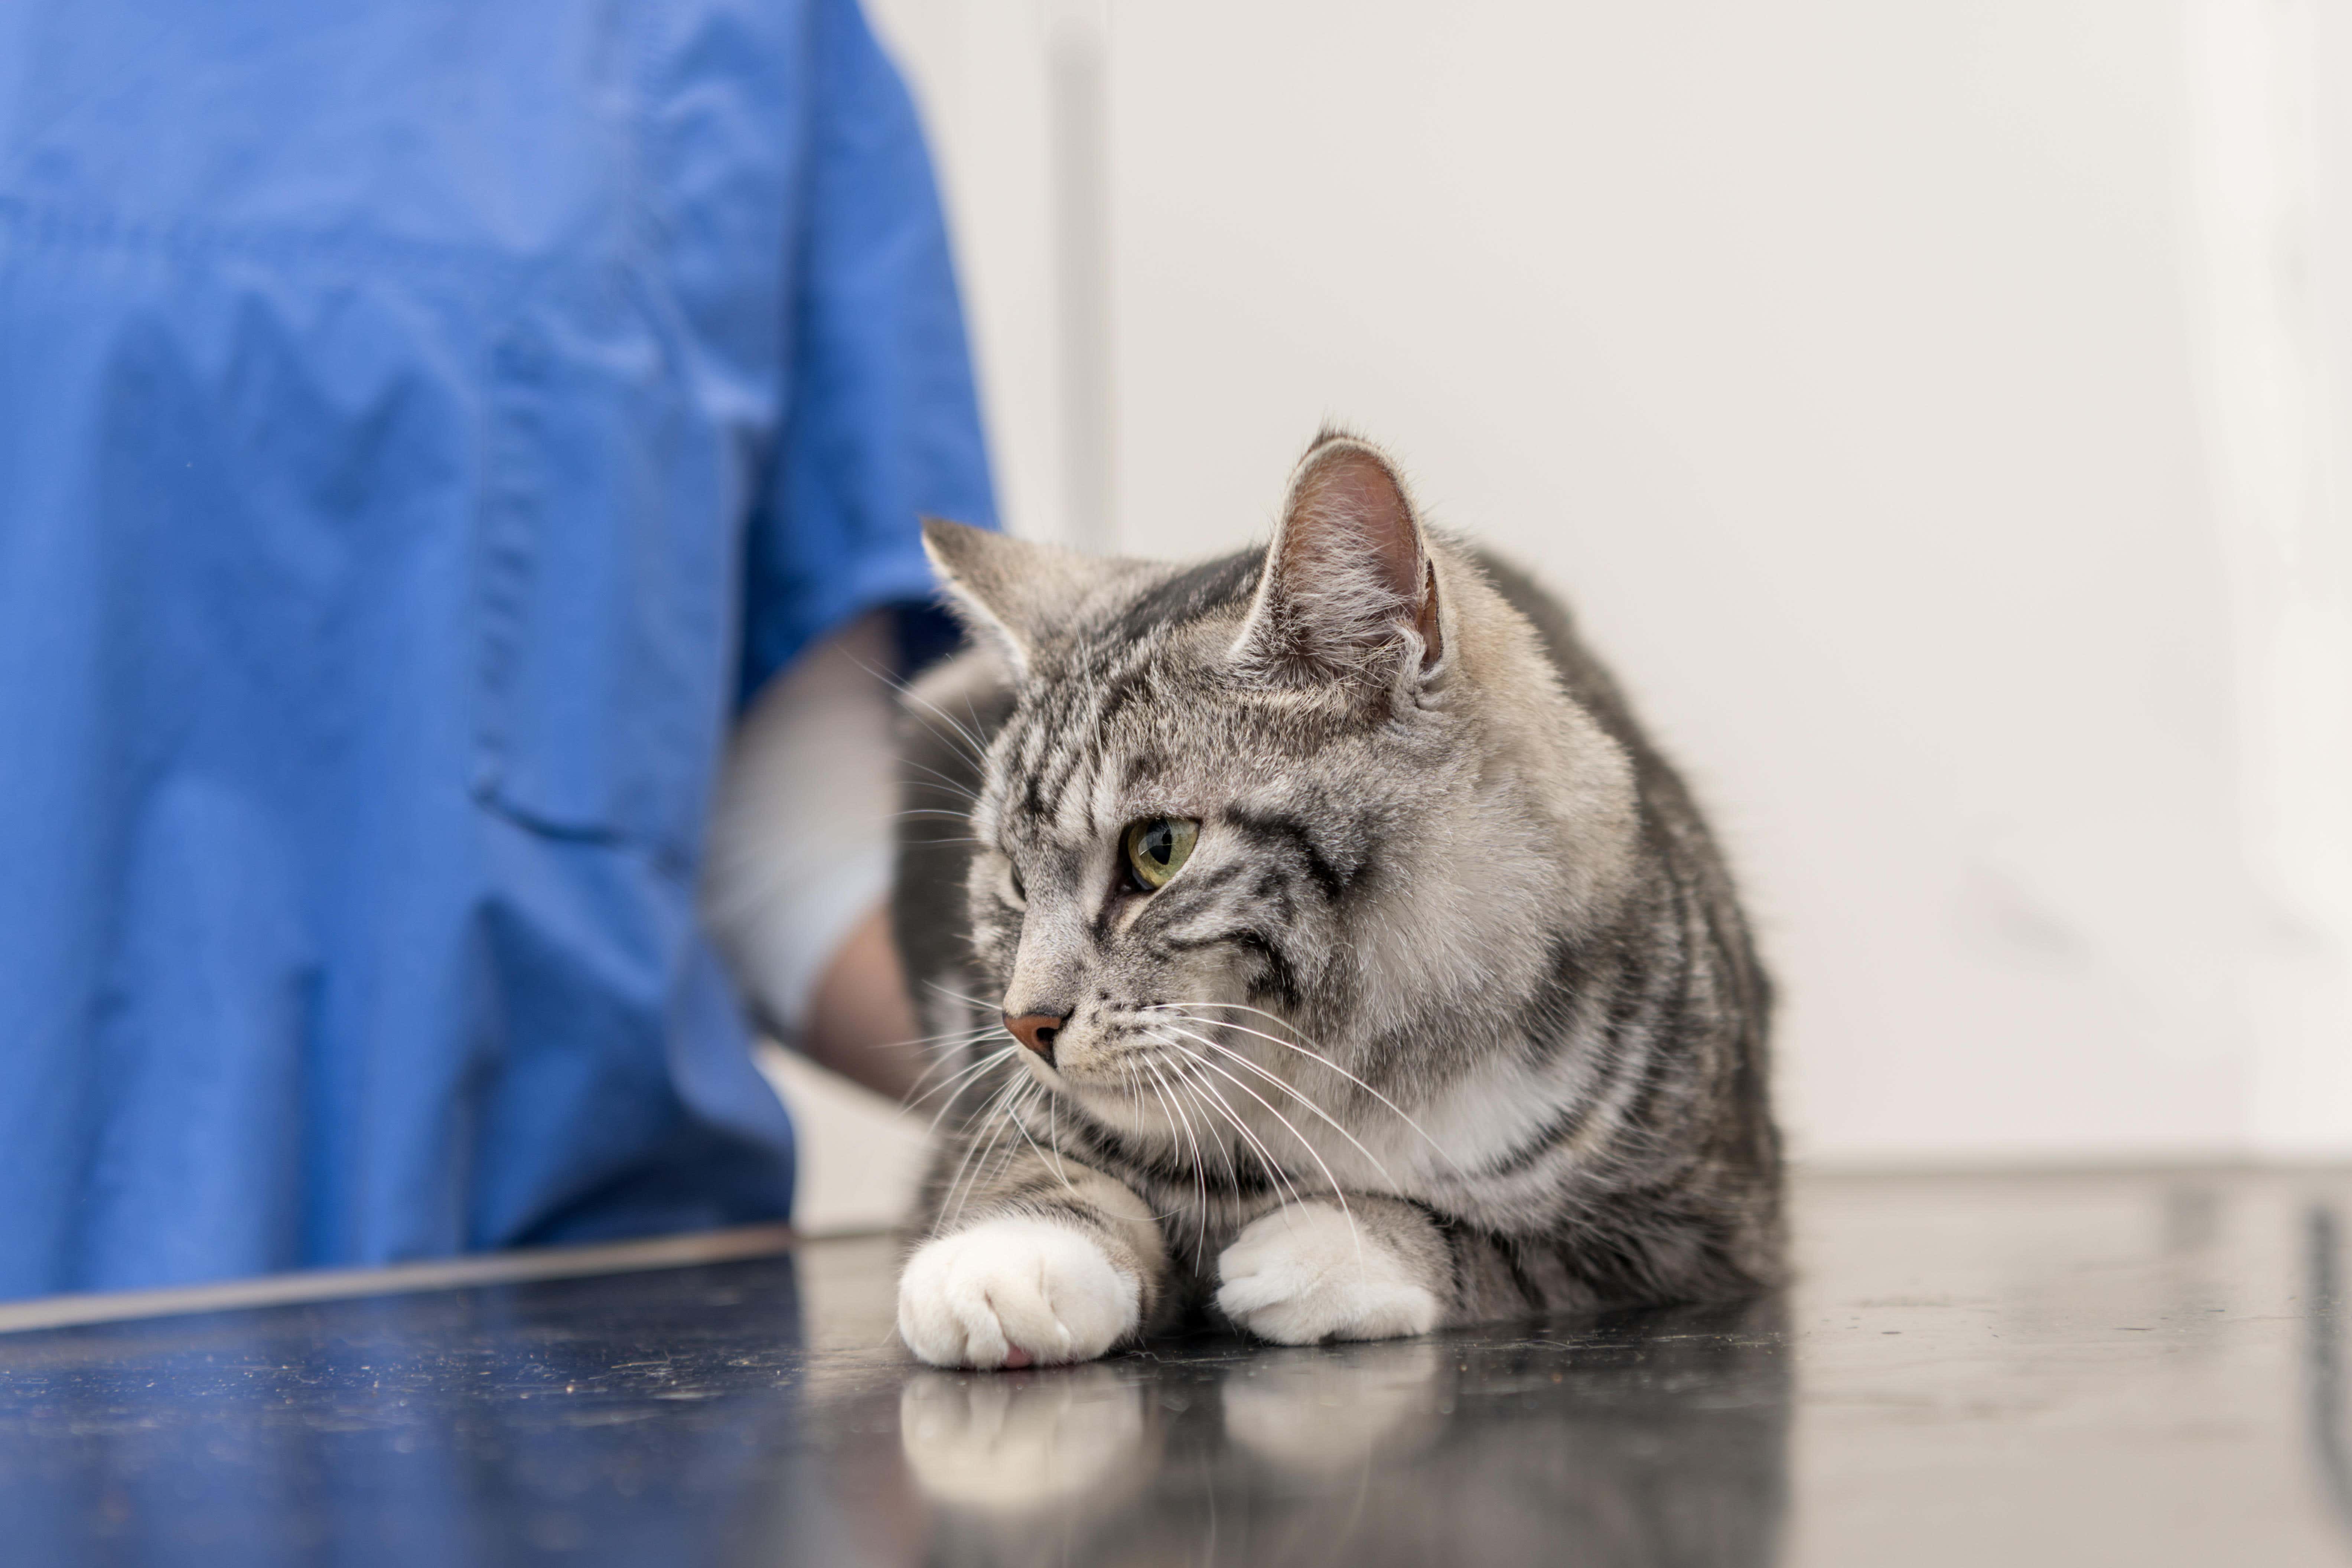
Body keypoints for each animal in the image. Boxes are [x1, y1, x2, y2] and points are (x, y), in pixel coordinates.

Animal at [889, 432, 1769, 1373]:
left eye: (1158, 849)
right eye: (1013, 879)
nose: (1023, 1023)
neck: (1333, 1078)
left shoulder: (1696, 1227)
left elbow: (1503, 1249)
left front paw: (1337, 1247)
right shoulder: (1006, 1116)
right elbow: (1035, 1165)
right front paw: (1007, 1258)